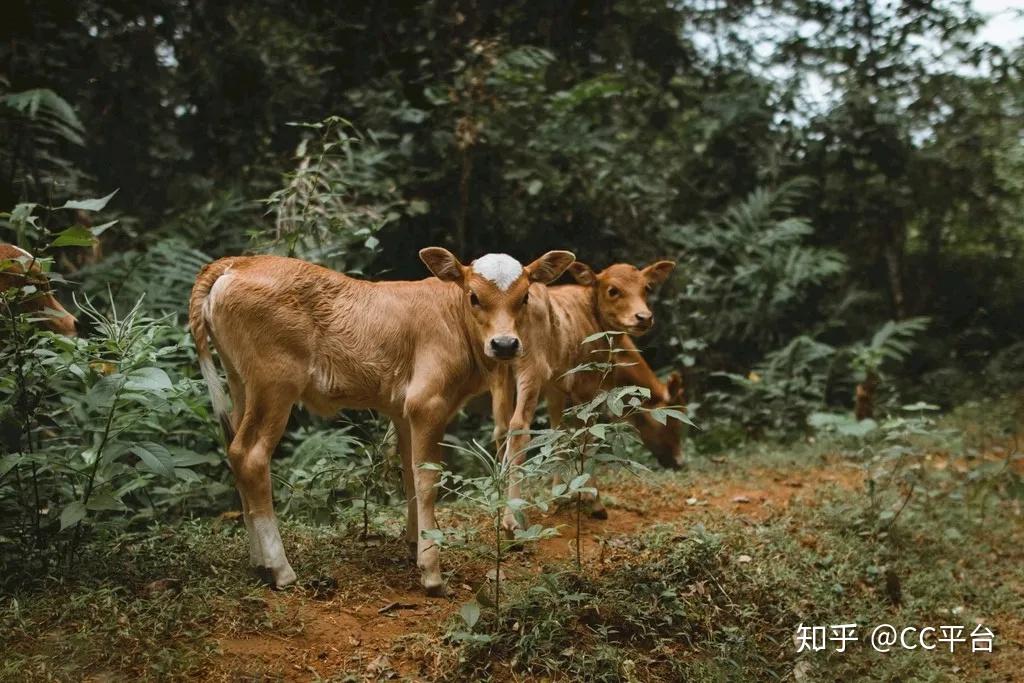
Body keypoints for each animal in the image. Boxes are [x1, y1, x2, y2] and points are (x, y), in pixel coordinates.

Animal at [189, 249, 577, 593]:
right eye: (474, 297)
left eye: (524, 297)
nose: (505, 344)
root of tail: (237, 262)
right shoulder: (427, 404)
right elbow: (427, 480)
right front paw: (431, 571)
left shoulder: (403, 411)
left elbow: (409, 476)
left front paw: (414, 542)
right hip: (275, 385)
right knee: (252, 457)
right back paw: (280, 569)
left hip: (241, 385)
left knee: (234, 452)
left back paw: (258, 563)